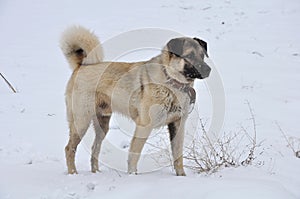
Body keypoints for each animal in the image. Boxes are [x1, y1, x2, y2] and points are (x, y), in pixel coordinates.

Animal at [60, 26, 211, 176]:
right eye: (189, 56)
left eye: (202, 55)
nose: (208, 69)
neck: (171, 82)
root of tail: (81, 65)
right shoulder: (144, 126)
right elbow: (134, 155)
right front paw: (132, 176)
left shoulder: (177, 126)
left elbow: (178, 156)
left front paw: (181, 176)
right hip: (81, 122)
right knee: (69, 148)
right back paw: (73, 173)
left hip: (102, 125)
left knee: (95, 148)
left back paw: (96, 172)